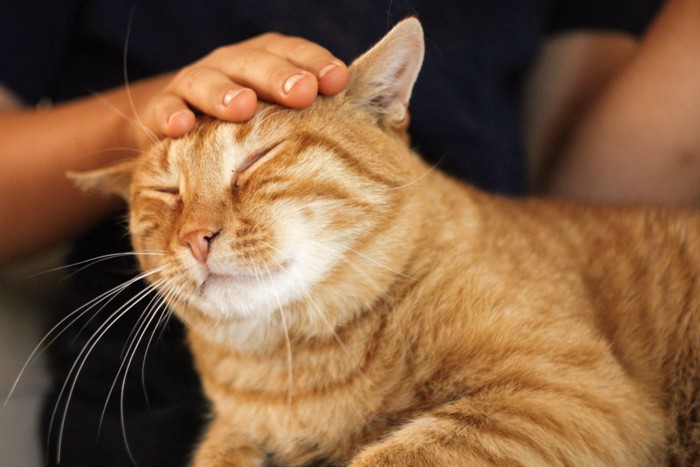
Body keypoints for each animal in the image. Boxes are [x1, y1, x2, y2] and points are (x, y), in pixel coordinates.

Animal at [75, 18, 700, 467]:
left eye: (259, 158)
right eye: (165, 191)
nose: (196, 238)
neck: (292, 369)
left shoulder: (567, 394)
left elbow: (400, 454)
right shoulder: (237, 428)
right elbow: (219, 452)